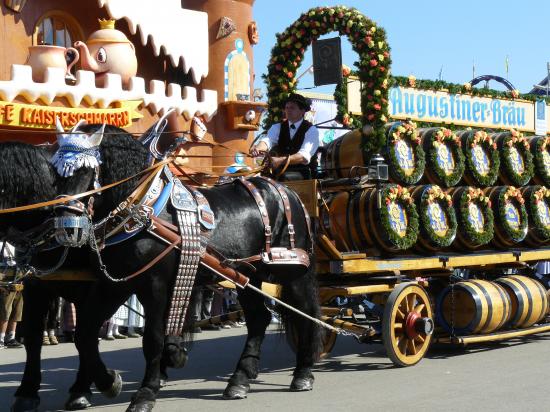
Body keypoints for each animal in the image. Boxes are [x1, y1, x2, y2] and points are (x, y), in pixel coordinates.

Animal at [11, 125, 324, 412]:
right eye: (56, 176)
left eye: (90, 173)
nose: (66, 228)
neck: (142, 211)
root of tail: (284, 190)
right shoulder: (113, 285)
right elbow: (84, 334)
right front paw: (108, 382)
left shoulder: (155, 285)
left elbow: (153, 338)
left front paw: (145, 393)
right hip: (247, 276)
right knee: (259, 318)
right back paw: (239, 380)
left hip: (292, 271)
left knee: (306, 313)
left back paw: (303, 373)